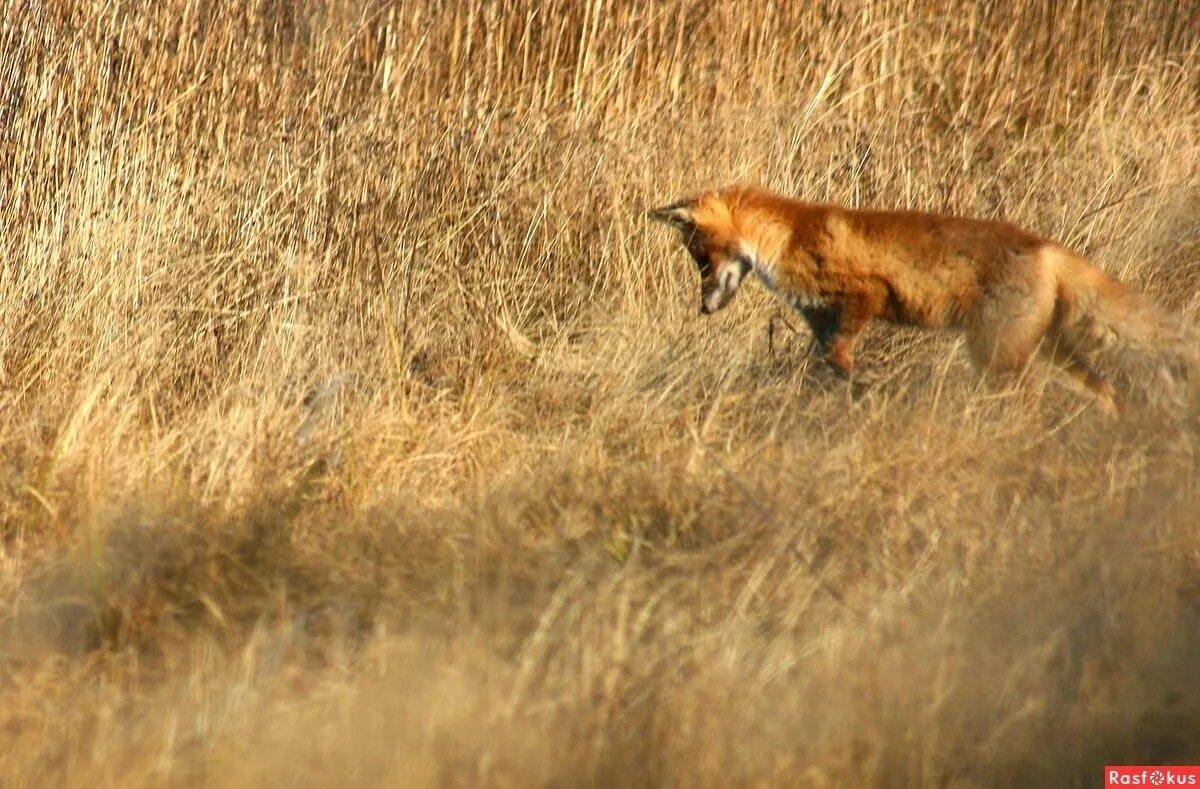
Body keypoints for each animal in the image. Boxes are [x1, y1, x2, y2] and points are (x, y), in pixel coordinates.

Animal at [648, 184, 1190, 414]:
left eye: (701, 258)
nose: (703, 307)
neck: (784, 238)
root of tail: (1044, 246)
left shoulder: (864, 293)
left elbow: (838, 355)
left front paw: (864, 384)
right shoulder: (821, 320)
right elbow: (823, 362)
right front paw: (853, 393)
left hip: (998, 358)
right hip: (1044, 352)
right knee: (1106, 391)